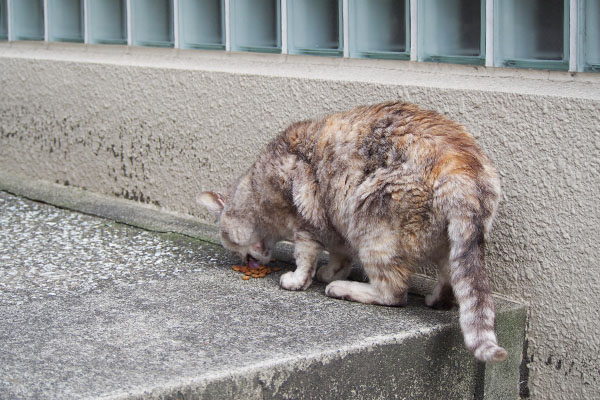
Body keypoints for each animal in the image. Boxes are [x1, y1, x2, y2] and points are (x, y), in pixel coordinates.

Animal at [200, 101, 506, 362]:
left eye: (229, 243)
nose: (242, 260)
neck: (257, 188)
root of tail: (461, 165)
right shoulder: (334, 226)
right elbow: (339, 254)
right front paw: (330, 271)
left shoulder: (305, 219)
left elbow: (305, 257)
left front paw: (300, 279)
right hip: (449, 242)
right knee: (451, 280)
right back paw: (435, 299)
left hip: (372, 225)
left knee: (394, 293)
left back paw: (344, 289)